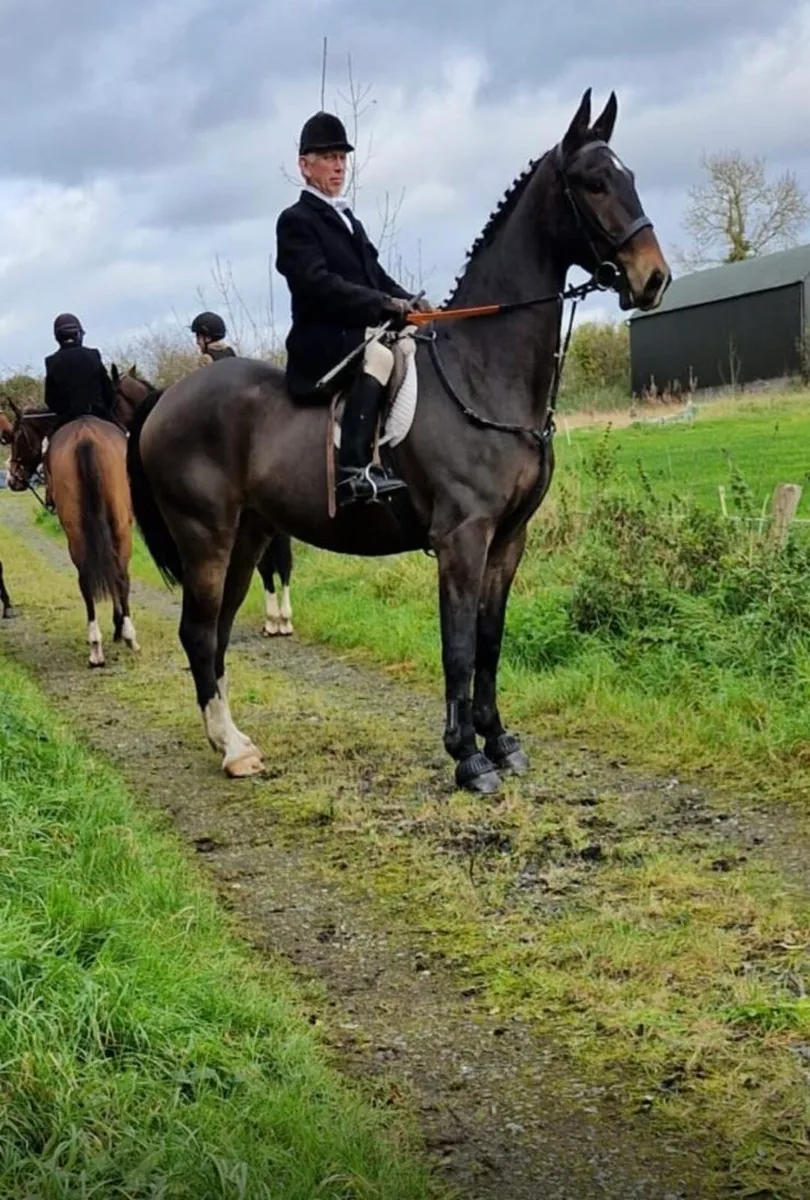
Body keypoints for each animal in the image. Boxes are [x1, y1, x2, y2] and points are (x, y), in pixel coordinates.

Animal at [6, 402, 139, 666]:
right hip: (117, 525)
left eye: (16, 437)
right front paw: (118, 627)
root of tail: (85, 437)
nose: (12, 479)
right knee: (116, 575)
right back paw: (119, 637)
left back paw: (100, 646)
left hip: (85, 528)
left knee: (95, 578)